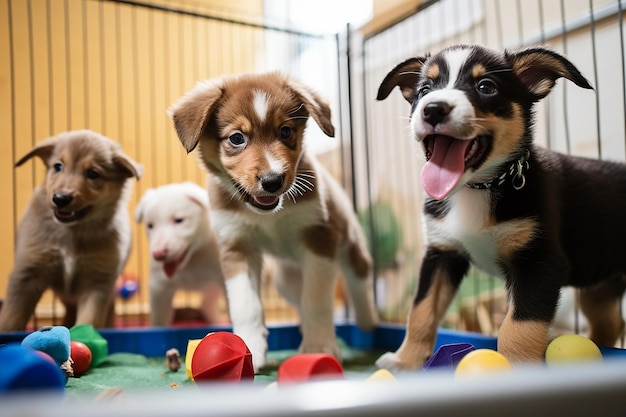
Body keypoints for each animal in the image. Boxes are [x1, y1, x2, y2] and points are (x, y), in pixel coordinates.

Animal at [0, 128, 141, 330]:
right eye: (58, 166)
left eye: (93, 174)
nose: (60, 198)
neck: (73, 231)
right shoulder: (27, 274)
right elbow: (10, 319)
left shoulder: (98, 283)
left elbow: (89, 320)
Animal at [134, 181, 224, 324]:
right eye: (150, 225)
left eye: (178, 220)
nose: (158, 254)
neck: (190, 263)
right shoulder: (158, 287)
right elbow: (159, 320)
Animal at [166, 72, 378, 370]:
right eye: (237, 138)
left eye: (286, 132)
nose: (272, 180)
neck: (267, 215)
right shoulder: (237, 246)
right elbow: (246, 305)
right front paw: (248, 349)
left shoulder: (319, 240)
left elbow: (317, 301)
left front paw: (319, 346)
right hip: (286, 280)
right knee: (298, 296)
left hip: (348, 244)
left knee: (359, 276)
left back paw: (367, 320)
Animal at [376, 45, 624, 368]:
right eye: (424, 90)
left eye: (486, 87)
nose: (433, 108)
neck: (478, 188)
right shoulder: (441, 253)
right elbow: (421, 311)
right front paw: (405, 360)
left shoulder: (538, 262)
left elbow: (519, 328)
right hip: (598, 289)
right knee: (609, 324)